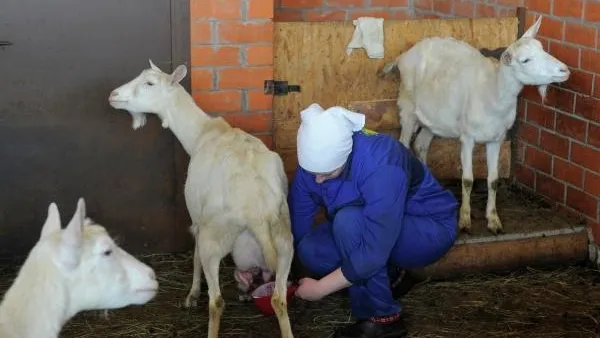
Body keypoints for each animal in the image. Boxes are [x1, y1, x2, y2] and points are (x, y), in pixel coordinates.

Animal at [109, 60, 296, 338]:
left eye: (150, 83)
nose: (113, 95)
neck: (202, 132)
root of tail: (256, 210)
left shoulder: (196, 217)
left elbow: (195, 252)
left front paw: (193, 294)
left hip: (215, 236)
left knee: (217, 301)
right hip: (284, 238)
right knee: (279, 299)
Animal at [378, 15, 568, 235]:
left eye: (543, 48)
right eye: (525, 60)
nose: (564, 70)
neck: (493, 91)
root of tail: (403, 56)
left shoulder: (496, 139)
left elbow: (493, 181)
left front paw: (493, 221)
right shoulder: (467, 137)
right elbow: (467, 180)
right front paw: (464, 220)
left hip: (433, 119)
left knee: (421, 145)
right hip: (407, 108)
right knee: (404, 144)